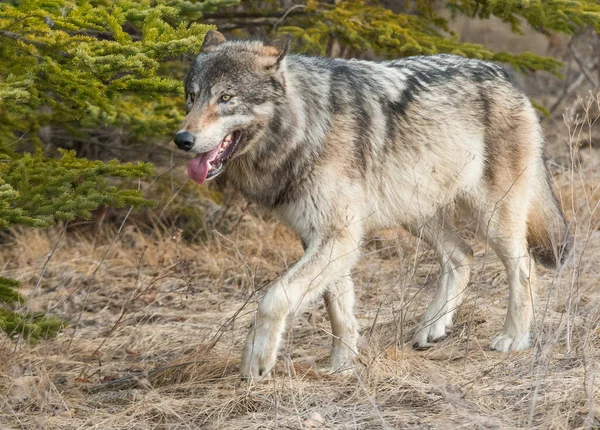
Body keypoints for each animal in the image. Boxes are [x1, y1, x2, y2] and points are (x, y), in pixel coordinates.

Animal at [173, 30, 572, 380]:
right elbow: (339, 311)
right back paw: (432, 327)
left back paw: (514, 338)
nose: (182, 139)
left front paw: (256, 359)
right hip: (415, 211)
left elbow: (274, 297)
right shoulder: (321, 238)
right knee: (462, 253)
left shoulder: (339, 238)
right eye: (191, 96)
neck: (306, 129)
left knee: (523, 268)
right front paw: (341, 366)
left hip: (492, 216)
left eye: (226, 99)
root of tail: (505, 76)